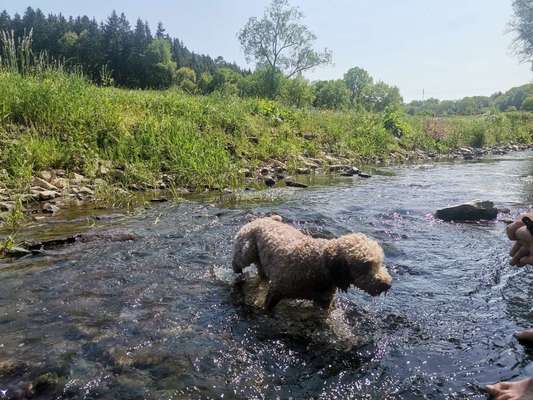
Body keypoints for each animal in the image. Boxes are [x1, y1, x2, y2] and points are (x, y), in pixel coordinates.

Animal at [232, 216, 390, 312]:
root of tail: (265, 218)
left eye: (380, 262)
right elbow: (268, 306)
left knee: (262, 272)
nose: (388, 284)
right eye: (366, 265)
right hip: (247, 250)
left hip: (261, 260)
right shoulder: (276, 291)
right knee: (238, 260)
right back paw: (236, 270)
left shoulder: (323, 302)